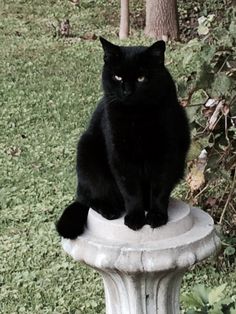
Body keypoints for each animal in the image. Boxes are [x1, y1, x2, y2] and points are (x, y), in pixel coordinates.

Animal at [55, 37, 190, 238]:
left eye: (141, 78)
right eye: (117, 77)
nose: (127, 91)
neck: (136, 117)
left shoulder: (166, 154)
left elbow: (159, 189)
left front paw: (156, 215)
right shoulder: (121, 157)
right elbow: (131, 191)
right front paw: (134, 218)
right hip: (87, 154)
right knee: (90, 198)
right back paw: (111, 209)